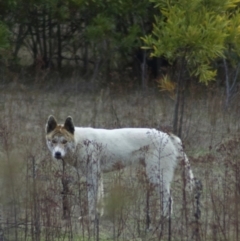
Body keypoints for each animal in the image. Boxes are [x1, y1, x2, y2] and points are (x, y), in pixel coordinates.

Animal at [45, 116, 195, 221]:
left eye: (64, 142)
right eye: (53, 141)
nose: (57, 154)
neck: (79, 142)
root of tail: (168, 135)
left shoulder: (92, 176)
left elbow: (91, 200)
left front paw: (91, 218)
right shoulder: (97, 175)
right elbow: (99, 198)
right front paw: (98, 215)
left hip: (156, 176)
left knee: (168, 199)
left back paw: (163, 219)